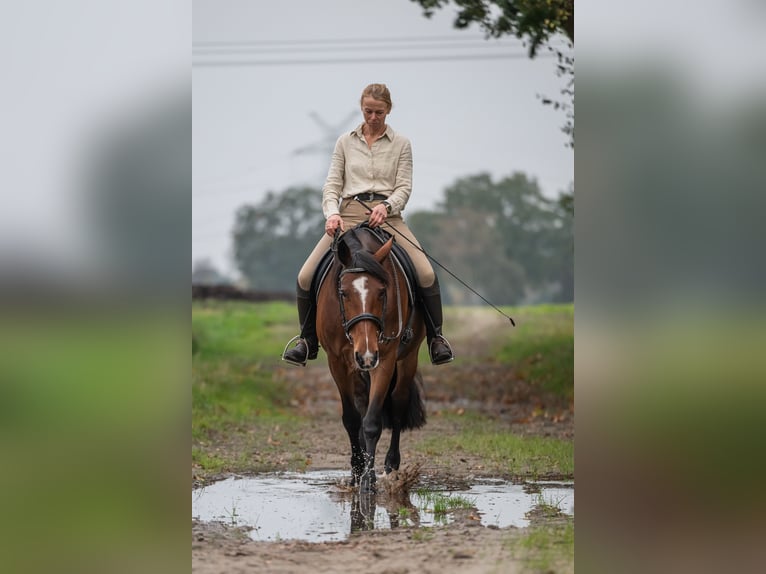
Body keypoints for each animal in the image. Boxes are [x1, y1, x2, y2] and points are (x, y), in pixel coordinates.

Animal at [316, 225, 428, 496]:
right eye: (343, 293)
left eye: (382, 292)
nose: (366, 354)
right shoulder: (337, 362)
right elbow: (352, 419)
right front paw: (356, 473)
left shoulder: (384, 359)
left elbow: (372, 422)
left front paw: (368, 479)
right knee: (361, 403)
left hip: (407, 358)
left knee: (398, 403)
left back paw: (391, 466)